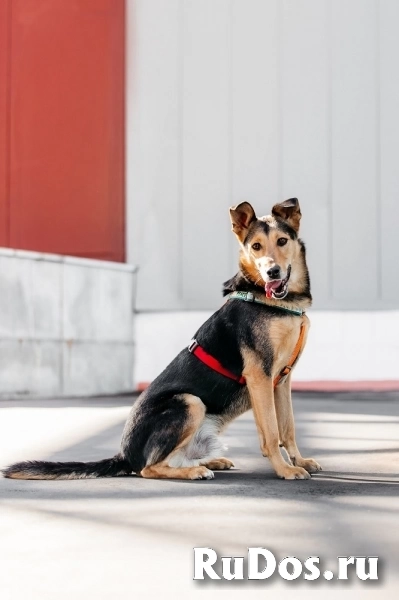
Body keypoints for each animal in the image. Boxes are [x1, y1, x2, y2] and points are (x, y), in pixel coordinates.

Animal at [2, 199, 322, 480]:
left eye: (282, 241)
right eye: (256, 246)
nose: (272, 272)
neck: (279, 303)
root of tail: (124, 455)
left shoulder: (281, 380)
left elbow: (288, 428)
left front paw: (299, 460)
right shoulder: (260, 377)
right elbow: (271, 432)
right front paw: (285, 469)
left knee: (171, 459)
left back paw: (209, 462)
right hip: (190, 402)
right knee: (148, 468)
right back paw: (194, 471)